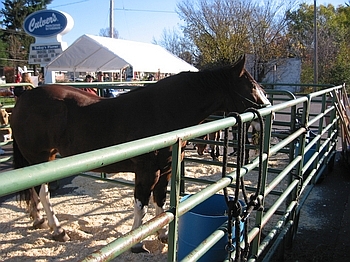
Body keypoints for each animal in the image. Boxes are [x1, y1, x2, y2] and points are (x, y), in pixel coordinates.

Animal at [10, 56, 270, 253]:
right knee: (42, 192)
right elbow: (141, 206)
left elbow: (161, 203)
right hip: (40, 159)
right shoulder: (147, 172)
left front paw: (163, 234)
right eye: (251, 86)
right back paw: (58, 229)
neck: (165, 111)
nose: (269, 112)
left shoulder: (165, 171)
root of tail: (24, 98)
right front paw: (136, 243)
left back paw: (38, 219)